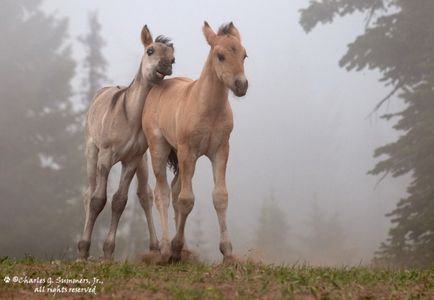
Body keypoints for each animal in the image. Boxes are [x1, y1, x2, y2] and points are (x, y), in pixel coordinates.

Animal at [78, 25, 175, 260]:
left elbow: (119, 202)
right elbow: (97, 200)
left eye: (172, 58)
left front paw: (108, 251)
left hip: (143, 162)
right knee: (88, 192)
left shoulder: (132, 159)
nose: (165, 66)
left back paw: (154, 246)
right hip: (91, 150)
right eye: (150, 50)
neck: (130, 117)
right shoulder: (105, 155)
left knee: (144, 194)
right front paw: (84, 249)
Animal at [143, 21, 248, 262]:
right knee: (162, 193)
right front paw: (174, 248)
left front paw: (227, 253)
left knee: (173, 190)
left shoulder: (220, 151)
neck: (209, 110)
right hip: (160, 149)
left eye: (244, 55)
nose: (241, 85)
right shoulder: (187, 151)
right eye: (220, 55)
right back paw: (165, 249)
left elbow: (220, 197)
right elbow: (186, 200)